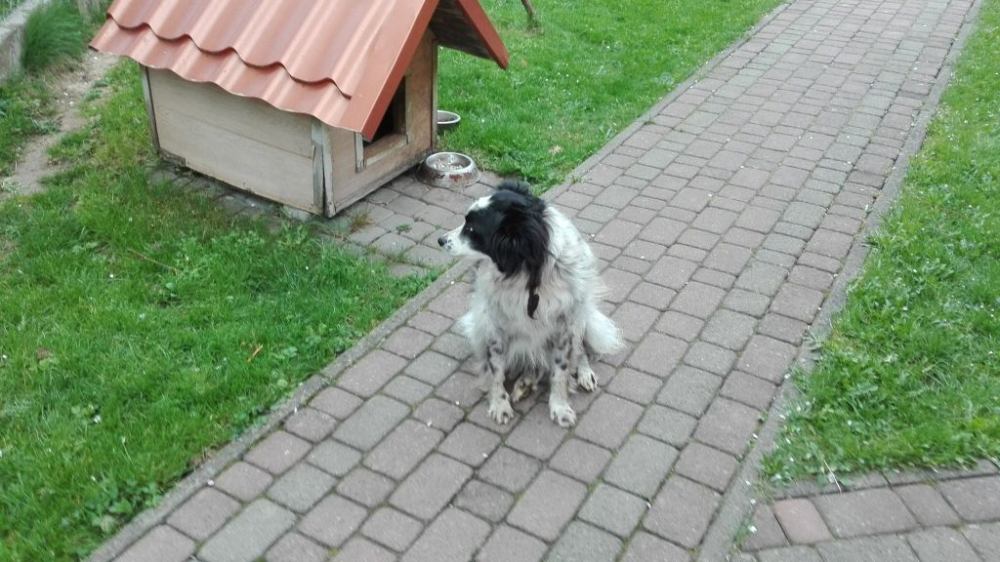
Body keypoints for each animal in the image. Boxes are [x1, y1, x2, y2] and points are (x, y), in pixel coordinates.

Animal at [437, 180, 624, 427]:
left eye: (471, 229)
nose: (440, 240)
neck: (527, 275)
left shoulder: (564, 327)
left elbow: (560, 370)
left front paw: (559, 406)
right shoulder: (494, 326)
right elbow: (495, 370)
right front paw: (499, 404)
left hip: (579, 318)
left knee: (579, 351)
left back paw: (581, 373)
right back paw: (525, 383)